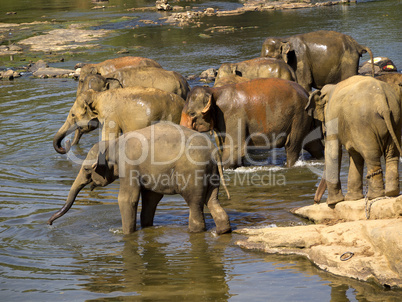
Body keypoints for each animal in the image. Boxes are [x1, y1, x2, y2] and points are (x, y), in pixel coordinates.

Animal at [48, 121, 232, 235]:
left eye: (86, 169)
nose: (49, 224)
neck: (113, 145)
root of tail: (214, 151)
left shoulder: (129, 167)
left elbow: (127, 199)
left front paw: (125, 234)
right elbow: (151, 197)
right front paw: (145, 226)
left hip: (193, 173)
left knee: (194, 203)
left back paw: (195, 231)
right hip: (211, 174)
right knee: (212, 200)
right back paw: (220, 231)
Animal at [52, 86, 185, 153]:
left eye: (73, 115)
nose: (66, 143)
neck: (97, 96)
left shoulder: (111, 117)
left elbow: (107, 139)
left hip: (172, 116)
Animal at [179, 76, 324, 169]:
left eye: (192, 114)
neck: (214, 92)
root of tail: (307, 93)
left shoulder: (233, 116)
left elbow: (234, 150)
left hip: (299, 117)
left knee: (292, 146)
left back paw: (287, 166)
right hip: (305, 119)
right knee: (313, 144)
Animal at [310, 75, 400, 205]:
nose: (316, 201)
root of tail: (382, 99)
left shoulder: (333, 115)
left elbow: (334, 152)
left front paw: (333, 202)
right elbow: (354, 154)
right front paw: (352, 199)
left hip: (364, 123)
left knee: (371, 156)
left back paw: (374, 196)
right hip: (396, 118)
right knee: (392, 155)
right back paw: (391, 193)